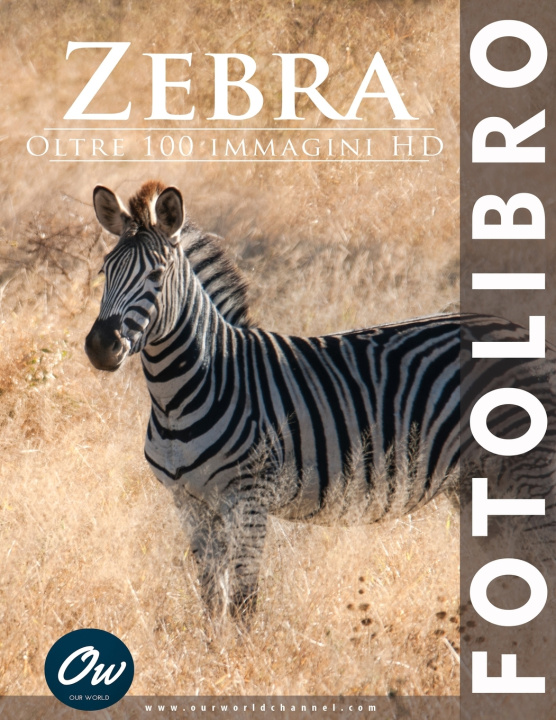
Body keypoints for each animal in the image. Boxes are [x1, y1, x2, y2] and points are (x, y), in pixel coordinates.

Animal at [85, 180, 556, 617]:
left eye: (157, 275)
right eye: (105, 270)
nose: (100, 346)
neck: (182, 395)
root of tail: (528, 333)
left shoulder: (248, 498)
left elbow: (242, 601)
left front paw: (242, 655)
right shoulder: (190, 503)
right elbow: (211, 599)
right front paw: (213, 651)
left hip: (529, 473)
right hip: (478, 483)